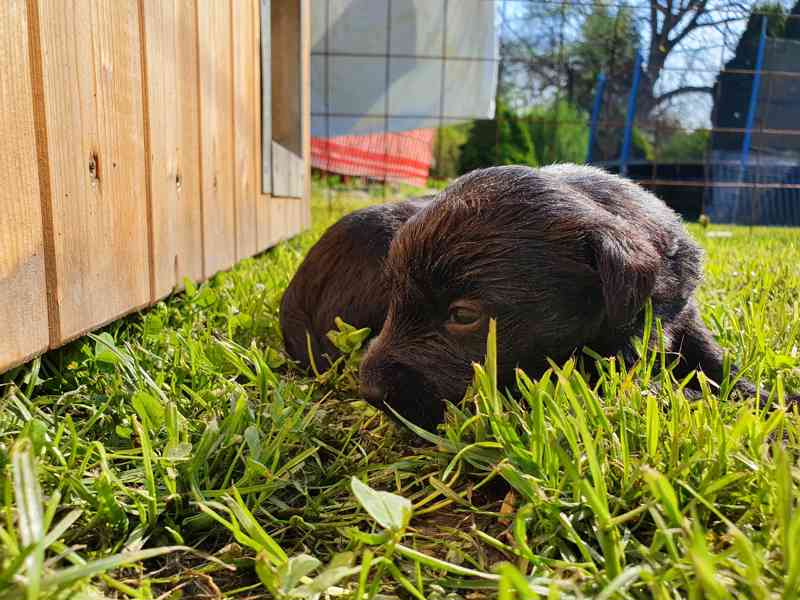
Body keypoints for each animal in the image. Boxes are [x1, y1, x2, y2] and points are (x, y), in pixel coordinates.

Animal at [360, 163, 796, 426]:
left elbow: (718, 363)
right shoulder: (605, 376)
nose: (368, 391)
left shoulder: (685, 319)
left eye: (463, 316)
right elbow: (682, 391)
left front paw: (769, 396)